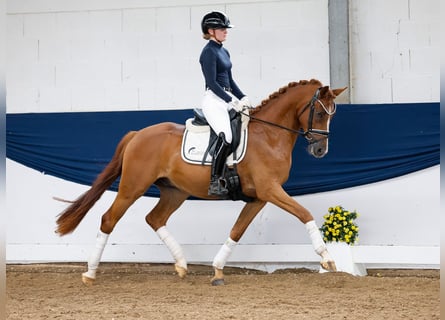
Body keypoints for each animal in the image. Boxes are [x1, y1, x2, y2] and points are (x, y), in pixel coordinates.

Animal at [56, 79, 346, 286]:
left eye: (332, 115)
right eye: (320, 114)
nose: (320, 151)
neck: (269, 134)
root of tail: (137, 134)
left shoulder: (259, 197)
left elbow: (237, 230)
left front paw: (217, 270)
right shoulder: (270, 190)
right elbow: (304, 213)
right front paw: (327, 259)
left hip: (175, 192)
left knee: (155, 219)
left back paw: (182, 265)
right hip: (132, 187)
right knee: (109, 219)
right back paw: (90, 273)